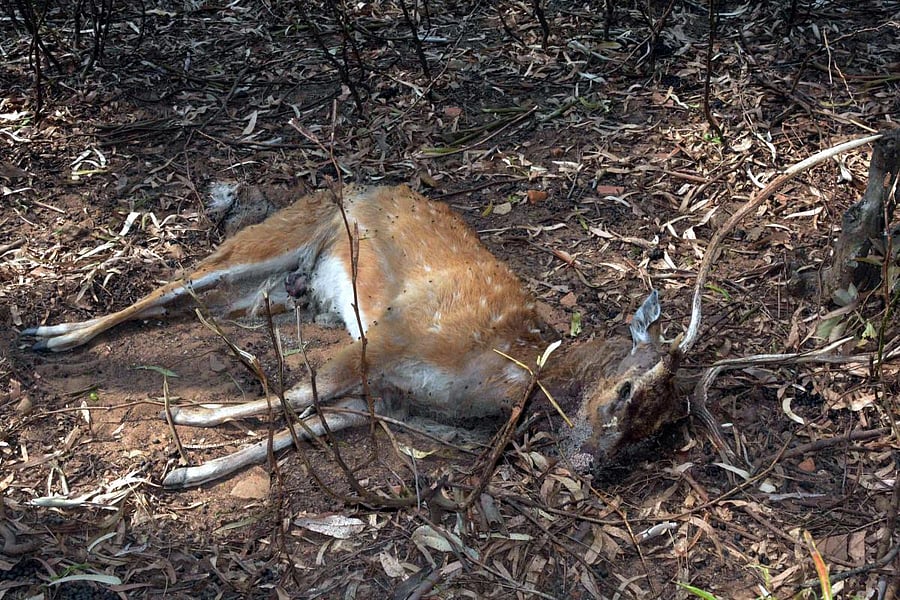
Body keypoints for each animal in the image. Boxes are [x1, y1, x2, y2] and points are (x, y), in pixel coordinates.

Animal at [23, 184, 685, 488]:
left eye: (652, 434)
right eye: (625, 390)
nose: (591, 466)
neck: (503, 370)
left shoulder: (390, 401)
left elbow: (304, 425)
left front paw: (187, 471)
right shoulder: (384, 339)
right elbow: (295, 395)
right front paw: (187, 419)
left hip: (270, 290)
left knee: (186, 301)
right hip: (268, 241)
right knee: (169, 286)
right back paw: (48, 336)